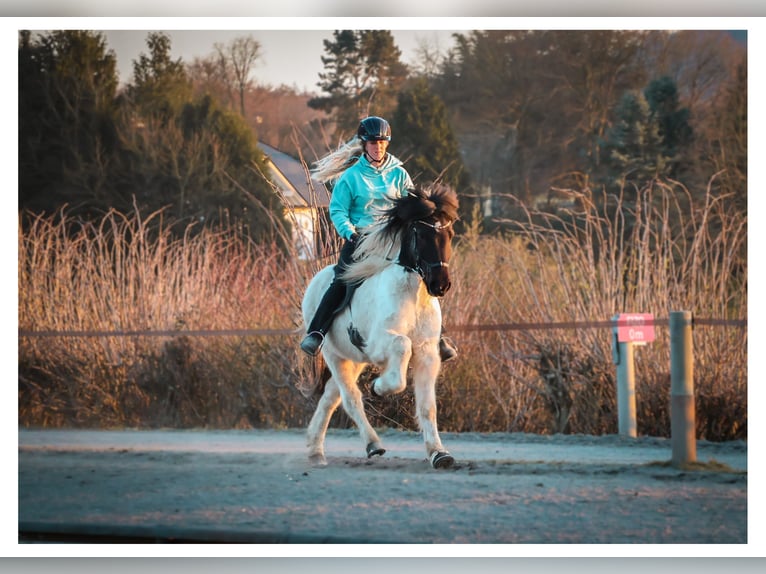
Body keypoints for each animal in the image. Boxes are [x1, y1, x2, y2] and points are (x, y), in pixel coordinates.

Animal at [301, 184, 459, 469]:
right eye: (421, 234)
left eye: (449, 233)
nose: (440, 284)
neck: (412, 295)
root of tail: (316, 279)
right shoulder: (379, 344)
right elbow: (402, 345)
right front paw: (379, 387)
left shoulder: (428, 353)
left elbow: (428, 406)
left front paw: (439, 454)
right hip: (334, 355)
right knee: (350, 397)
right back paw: (372, 444)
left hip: (354, 359)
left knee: (331, 396)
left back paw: (315, 450)